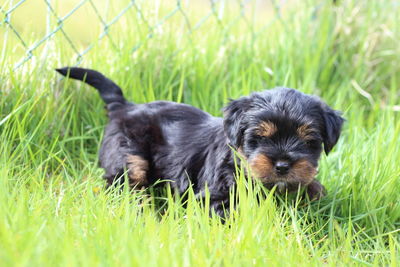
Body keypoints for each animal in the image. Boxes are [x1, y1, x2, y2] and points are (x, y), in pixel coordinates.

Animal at [55, 67, 344, 218]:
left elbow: (309, 187)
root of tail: (125, 107)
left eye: (308, 142)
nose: (283, 165)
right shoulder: (214, 195)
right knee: (126, 183)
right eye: (258, 138)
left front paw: (313, 193)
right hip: (126, 153)